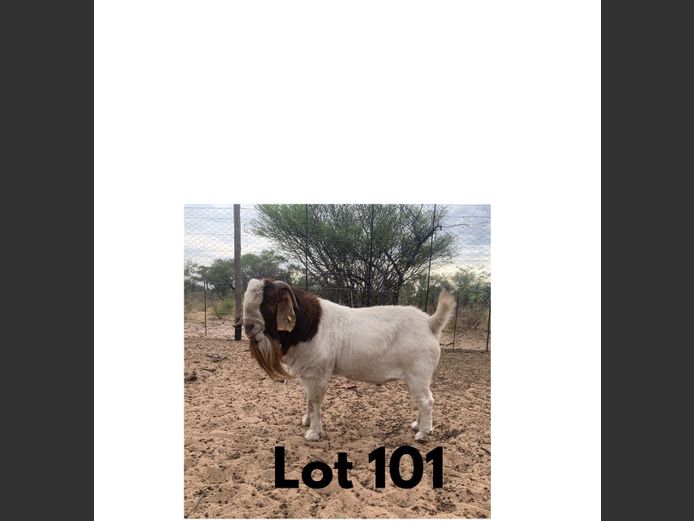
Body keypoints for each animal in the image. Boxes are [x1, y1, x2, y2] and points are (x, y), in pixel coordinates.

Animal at [242, 278, 456, 442]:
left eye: (270, 301)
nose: (248, 326)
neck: (309, 323)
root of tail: (429, 323)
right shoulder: (306, 373)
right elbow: (308, 399)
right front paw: (307, 421)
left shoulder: (318, 374)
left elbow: (315, 401)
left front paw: (313, 433)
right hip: (415, 378)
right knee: (422, 400)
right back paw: (417, 425)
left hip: (418, 374)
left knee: (426, 401)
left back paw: (423, 434)